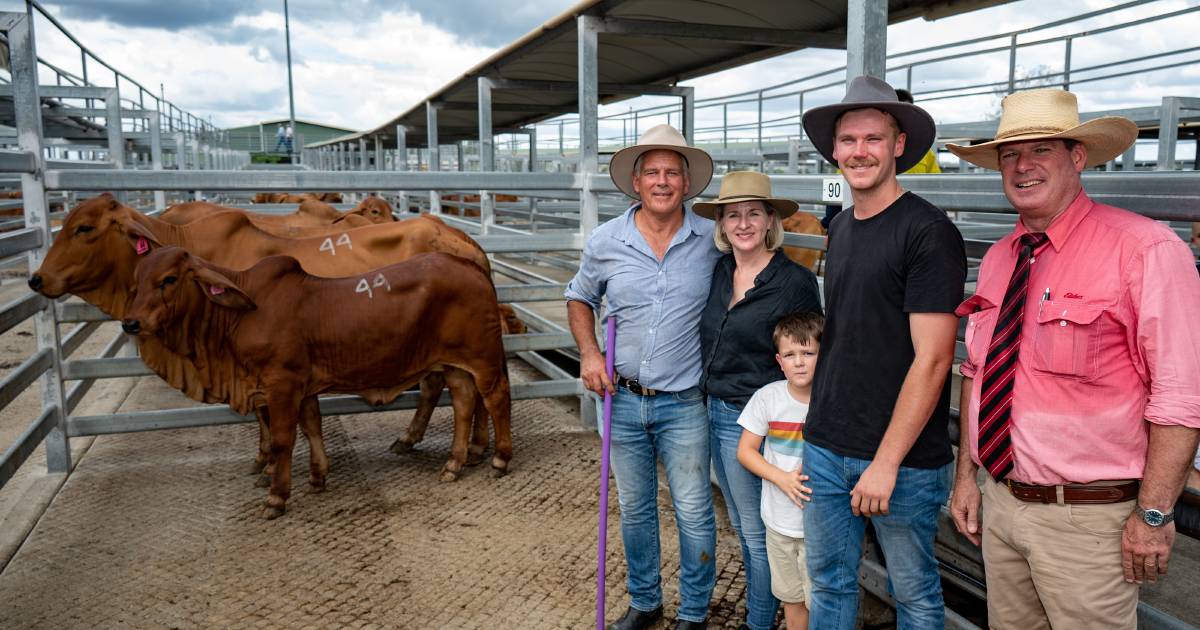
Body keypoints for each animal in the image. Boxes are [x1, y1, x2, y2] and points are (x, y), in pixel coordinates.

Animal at [123, 248, 511, 518]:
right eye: (136, 281)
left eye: (169, 279)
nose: (130, 323)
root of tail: (470, 265)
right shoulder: (303, 387)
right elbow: (312, 426)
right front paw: (317, 477)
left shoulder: (281, 384)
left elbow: (281, 440)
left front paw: (276, 497)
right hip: (454, 365)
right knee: (464, 401)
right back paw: (454, 463)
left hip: (482, 359)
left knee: (496, 399)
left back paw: (499, 459)